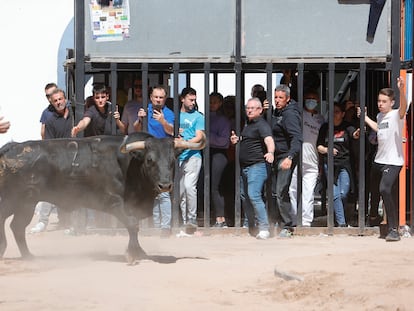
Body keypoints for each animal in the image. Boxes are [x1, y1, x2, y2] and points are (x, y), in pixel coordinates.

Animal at [0, 132, 206, 264]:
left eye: (172, 161)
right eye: (150, 160)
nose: (165, 185)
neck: (129, 163)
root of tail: (10, 149)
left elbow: (134, 227)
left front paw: (138, 252)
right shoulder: (114, 203)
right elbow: (132, 225)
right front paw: (132, 254)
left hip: (26, 203)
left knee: (16, 226)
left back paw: (27, 256)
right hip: (14, 200)